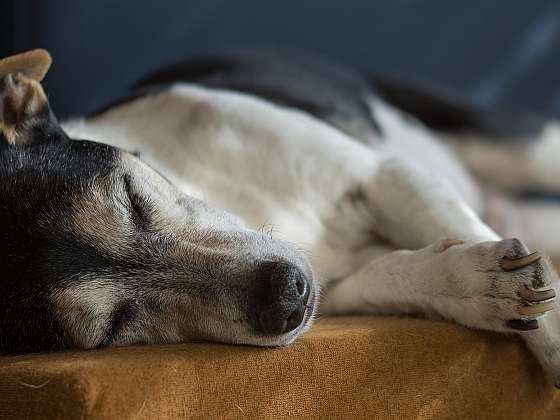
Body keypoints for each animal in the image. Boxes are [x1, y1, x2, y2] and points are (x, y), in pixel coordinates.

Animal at [1, 48, 560, 384]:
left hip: (515, 144)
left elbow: (450, 224)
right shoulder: (338, 292)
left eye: (131, 194)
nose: (286, 296)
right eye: (114, 327)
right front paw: (480, 285)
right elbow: (399, 274)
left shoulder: (384, 175)